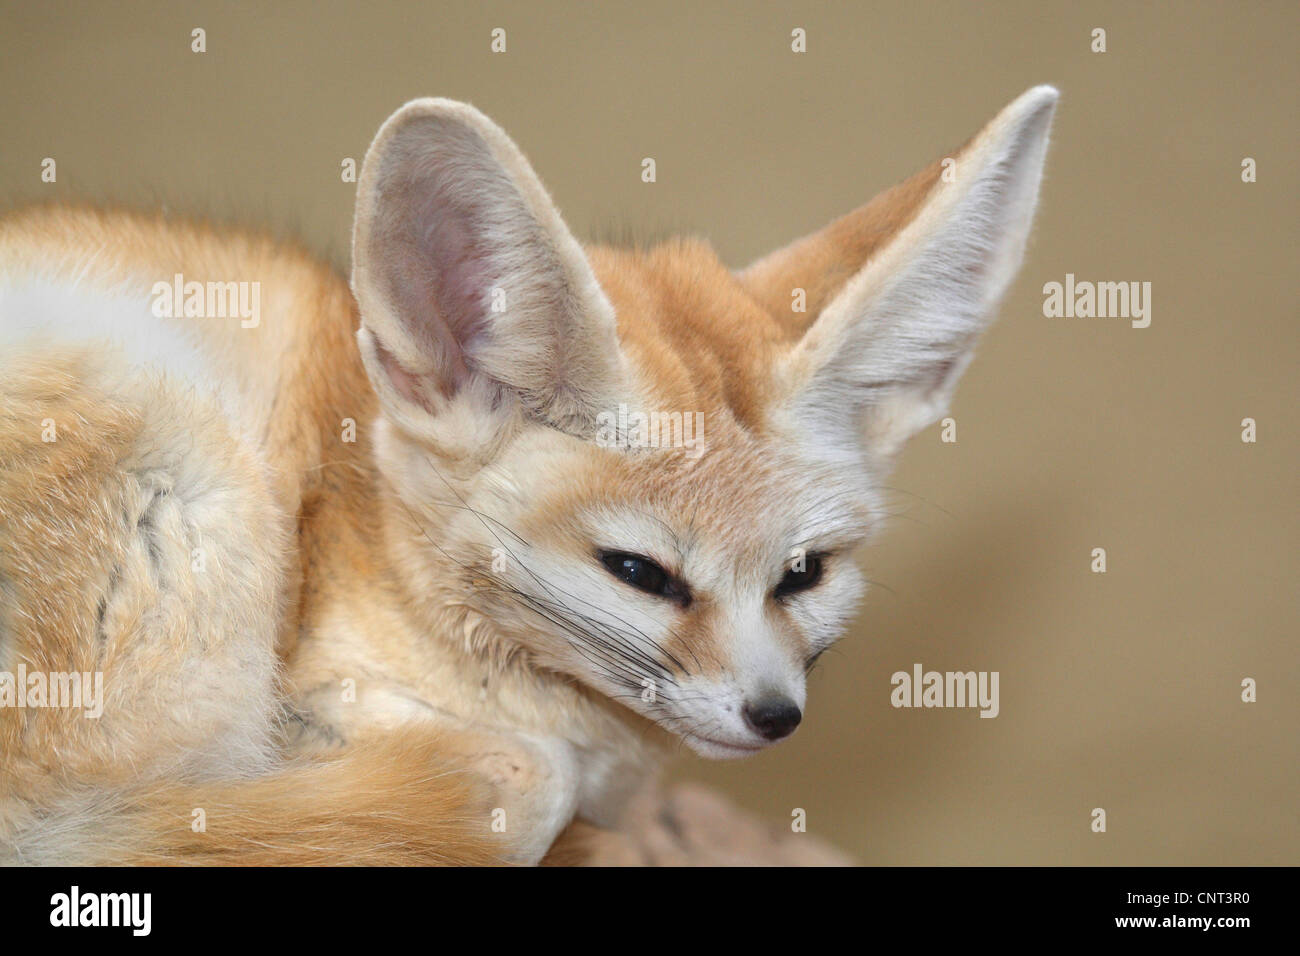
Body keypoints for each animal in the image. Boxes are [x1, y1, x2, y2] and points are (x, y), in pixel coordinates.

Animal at [0, 85, 1057, 865]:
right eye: (638, 573)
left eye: (805, 574)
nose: (774, 717)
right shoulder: (304, 682)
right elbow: (522, 775)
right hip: (184, 445)